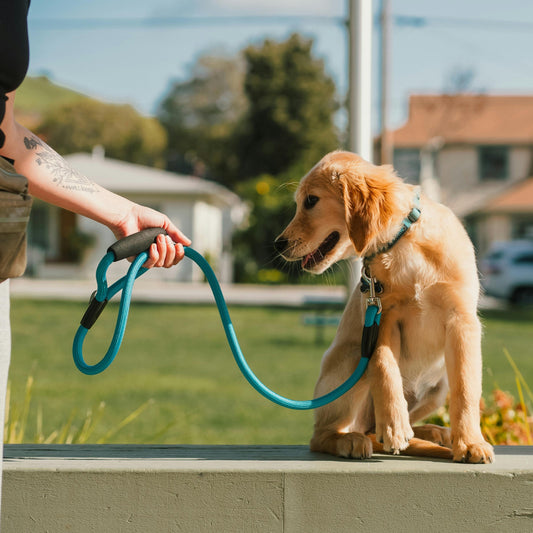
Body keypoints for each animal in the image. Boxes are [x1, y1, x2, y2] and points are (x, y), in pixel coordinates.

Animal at [276, 149, 492, 462]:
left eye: (311, 201)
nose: (278, 244)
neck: (403, 244)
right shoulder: (383, 316)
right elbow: (383, 365)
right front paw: (393, 426)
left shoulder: (462, 319)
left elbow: (466, 388)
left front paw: (470, 442)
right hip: (353, 357)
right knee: (323, 435)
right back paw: (352, 439)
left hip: (438, 388)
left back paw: (434, 433)